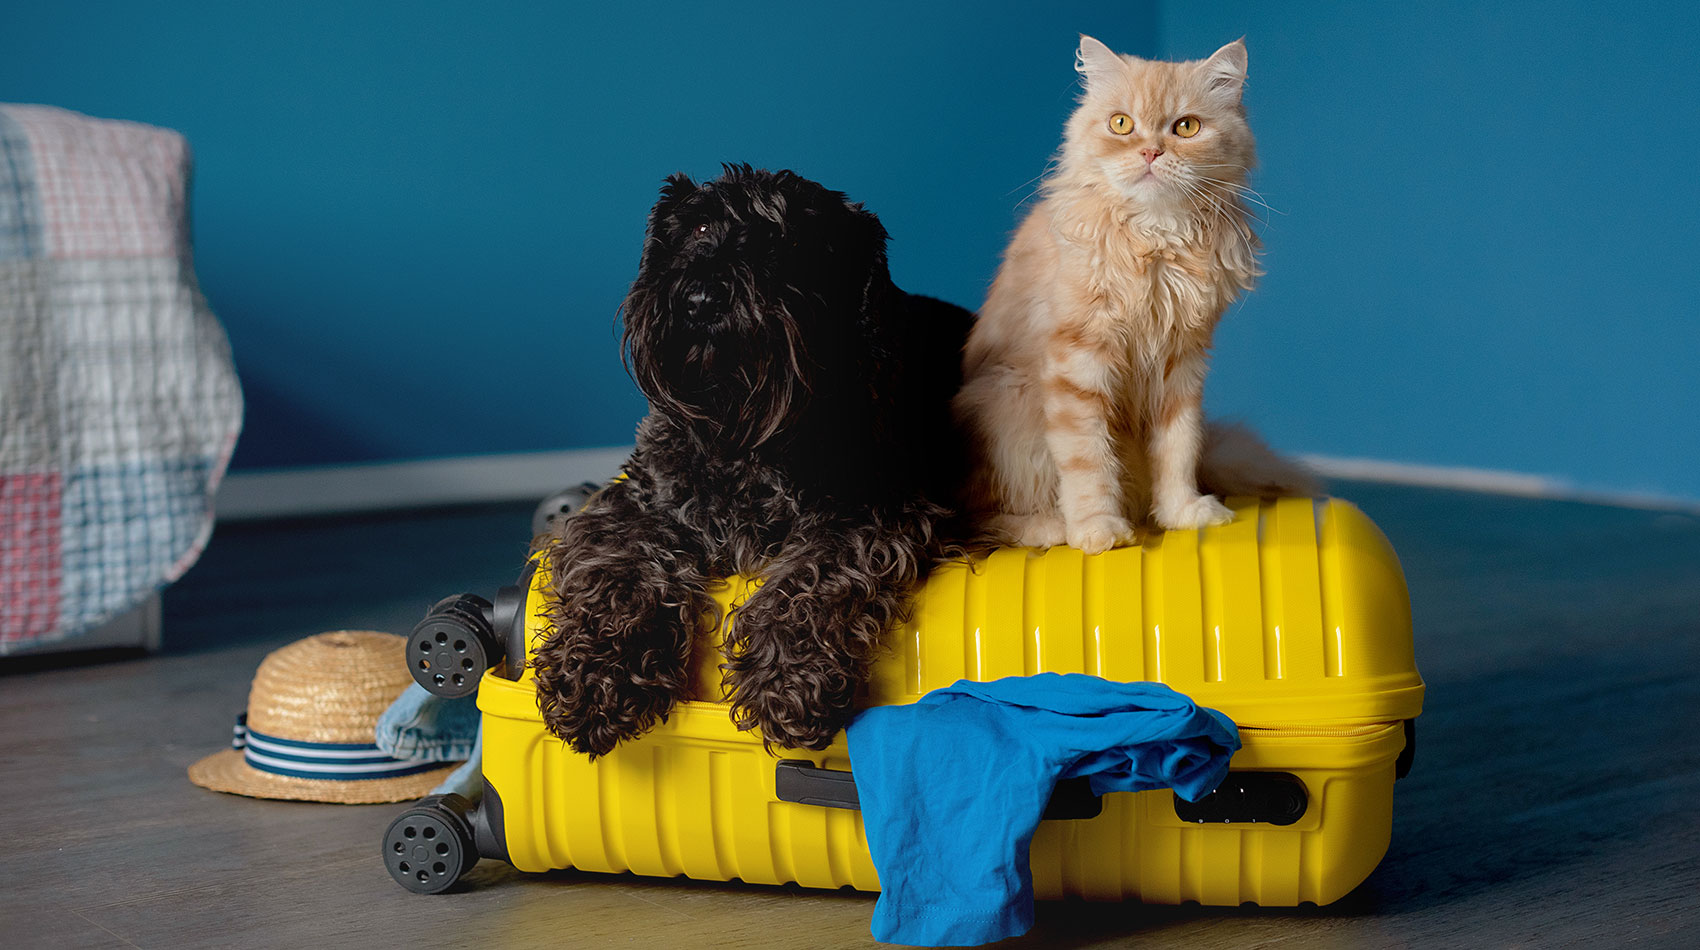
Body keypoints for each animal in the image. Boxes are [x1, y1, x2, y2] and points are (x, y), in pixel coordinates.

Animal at [537, 165, 979, 757]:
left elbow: (809, 580)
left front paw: (788, 679)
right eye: (699, 226)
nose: (701, 298)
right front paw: (595, 673)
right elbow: (619, 567)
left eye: (788, 239)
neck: (738, 437)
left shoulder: (872, 517)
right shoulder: (635, 503)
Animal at [958, 37, 1312, 557]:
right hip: (1007, 410)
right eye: (1121, 124)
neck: (1157, 238)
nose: (1150, 152)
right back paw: (1051, 527)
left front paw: (1182, 513)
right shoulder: (1078, 362)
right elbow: (1087, 459)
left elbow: (1179, 448)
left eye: (1186, 127)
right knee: (977, 521)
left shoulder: (1182, 363)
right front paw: (1098, 529)